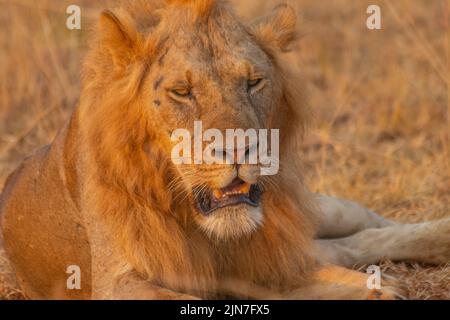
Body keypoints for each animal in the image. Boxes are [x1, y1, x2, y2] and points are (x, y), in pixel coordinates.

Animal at [0, 0, 450, 300]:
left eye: (253, 82)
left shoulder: (263, 260)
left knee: (367, 226)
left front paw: (379, 288)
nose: (239, 149)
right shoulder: (116, 280)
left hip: (322, 209)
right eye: (182, 91)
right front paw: (376, 287)